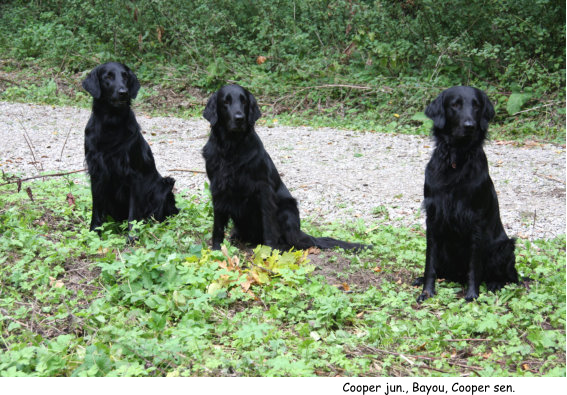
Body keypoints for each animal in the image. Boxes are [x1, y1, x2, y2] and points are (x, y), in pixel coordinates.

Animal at [82, 61, 179, 235]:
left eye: (125, 76)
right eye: (108, 76)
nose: (123, 92)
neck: (111, 124)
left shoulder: (134, 175)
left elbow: (133, 214)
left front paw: (132, 237)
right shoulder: (96, 172)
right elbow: (96, 210)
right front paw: (94, 233)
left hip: (165, 185)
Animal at [203, 84, 368, 252]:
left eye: (244, 102)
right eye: (225, 102)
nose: (239, 118)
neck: (232, 147)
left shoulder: (264, 190)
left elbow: (268, 224)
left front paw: (269, 251)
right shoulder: (218, 188)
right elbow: (217, 225)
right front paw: (216, 249)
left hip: (287, 208)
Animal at [414, 86, 520, 304]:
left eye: (477, 106)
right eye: (454, 105)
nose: (470, 126)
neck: (456, 160)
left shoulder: (475, 220)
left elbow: (474, 265)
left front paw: (472, 295)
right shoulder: (433, 218)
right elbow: (430, 262)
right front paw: (427, 292)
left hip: (505, 247)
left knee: (510, 277)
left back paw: (495, 283)